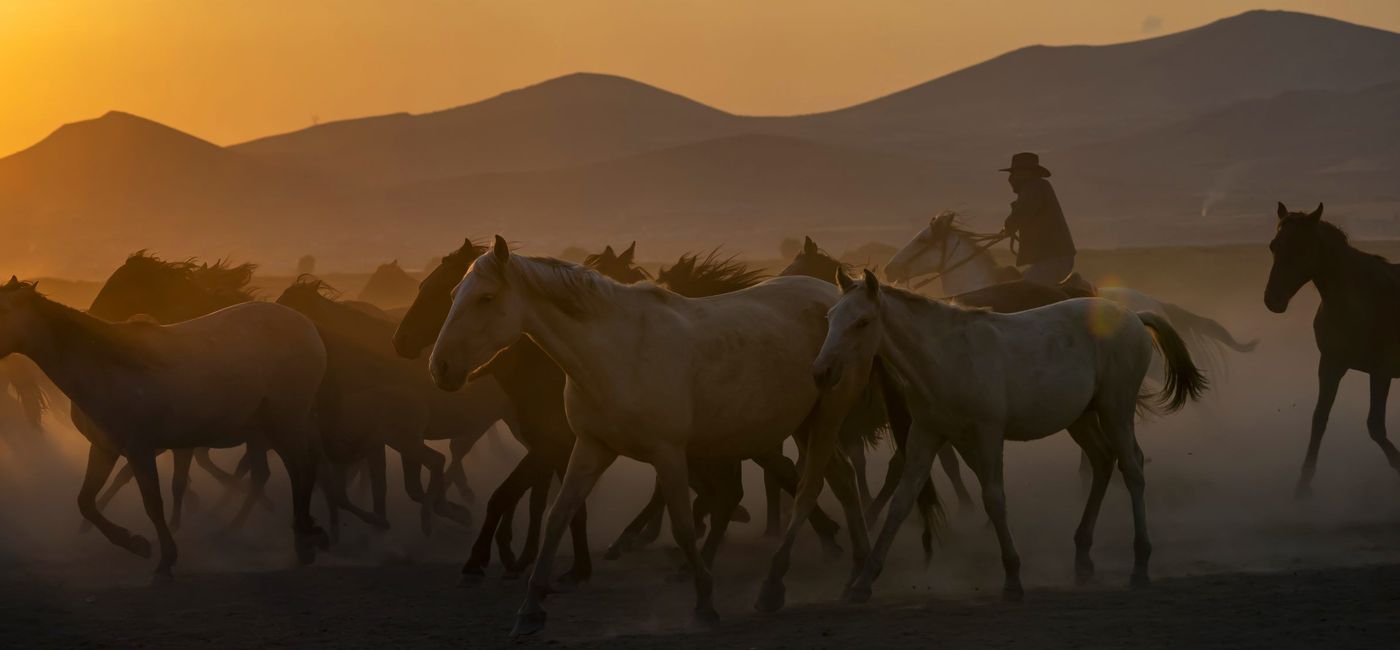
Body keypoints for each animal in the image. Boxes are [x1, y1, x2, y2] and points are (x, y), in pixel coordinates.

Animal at [0, 277, 328, 580]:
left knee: (301, 470)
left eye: (3, 310)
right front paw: (134, 542)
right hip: (267, 430)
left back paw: (302, 539)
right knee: (291, 471)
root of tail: (307, 325)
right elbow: (86, 502)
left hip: (286, 422)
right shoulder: (105, 449)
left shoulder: (140, 450)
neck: (110, 368)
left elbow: (153, 504)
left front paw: (165, 559)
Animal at [430, 237, 872, 634]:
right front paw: (530, 610)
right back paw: (857, 579)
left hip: (826, 419)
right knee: (844, 482)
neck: (616, 353)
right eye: (452, 294)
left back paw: (778, 586)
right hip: (804, 425)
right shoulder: (590, 448)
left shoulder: (668, 453)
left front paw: (704, 602)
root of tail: (833, 296)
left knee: (811, 488)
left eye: (486, 298)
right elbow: (559, 516)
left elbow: (683, 524)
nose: (440, 368)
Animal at [816, 269, 1207, 602]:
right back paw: (1083, 557)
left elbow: (994, 499)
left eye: (862, 321)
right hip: (1080, 418)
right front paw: (863, 582)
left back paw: (1140, 564)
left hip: (1116, 410)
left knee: (1133, 468)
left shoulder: (987, 433)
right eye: (831, 317)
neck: (947, 358)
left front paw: (1013, 578)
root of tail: (1134, 317)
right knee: (1101, 461)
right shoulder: (926, 434)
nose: (822, 371)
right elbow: (901, 501)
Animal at [1265, 202, 1400, 497]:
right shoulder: (1330, 365)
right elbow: (1319, 419)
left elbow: (1375, 426)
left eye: (1302, 247)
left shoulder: (1381, 371)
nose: (1273, 300)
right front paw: (1302, 486)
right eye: (1273, 246)